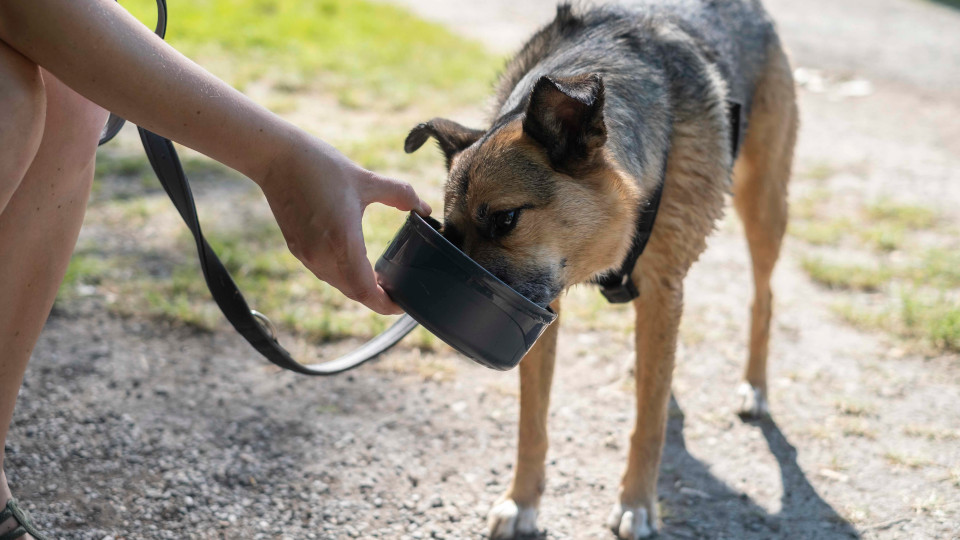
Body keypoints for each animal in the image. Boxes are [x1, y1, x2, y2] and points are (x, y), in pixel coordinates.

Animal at [404, 3, 796, 536]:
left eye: (506, 219)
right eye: (450, 236)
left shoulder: (661, 287)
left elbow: (648, 422)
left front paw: (637, 502)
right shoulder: (548, 305)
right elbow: (533, 422)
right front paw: (522, 500)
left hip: (763, 204)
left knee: (764, 296)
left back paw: (754, 388)